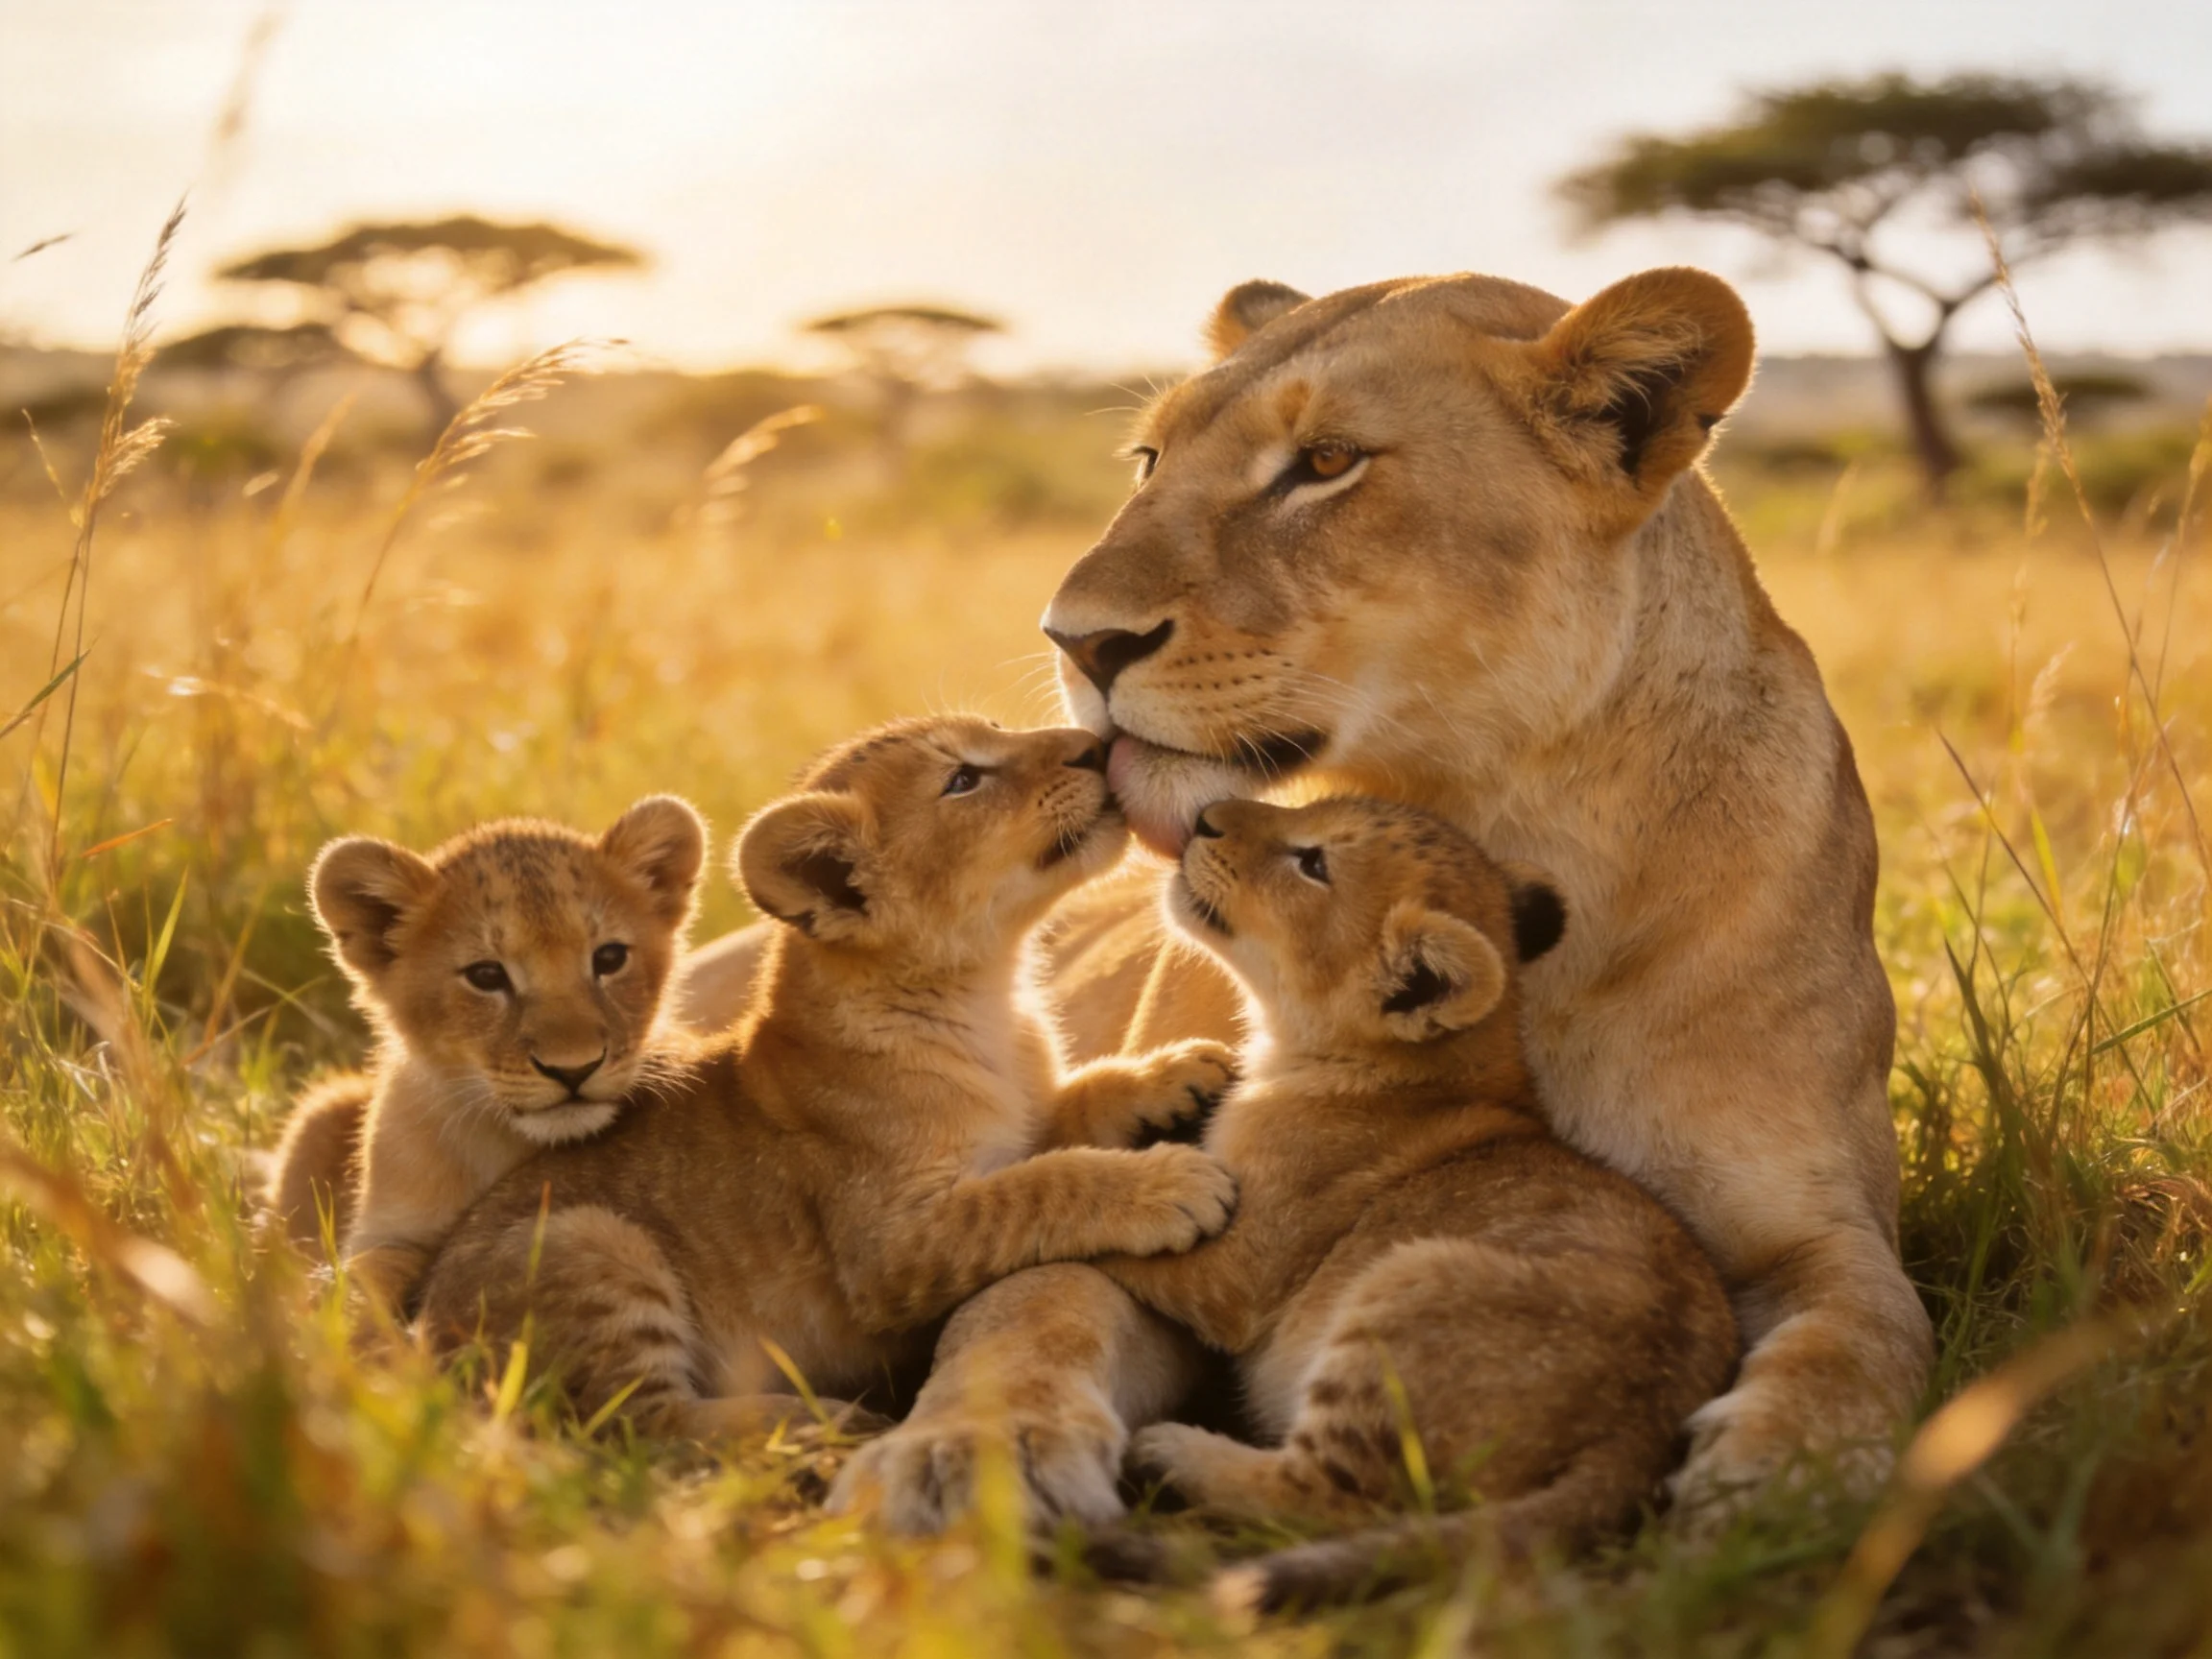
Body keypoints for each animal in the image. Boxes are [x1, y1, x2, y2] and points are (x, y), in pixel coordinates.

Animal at [264, 796, 709, 1312]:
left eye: (610, 958)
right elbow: (364, 1279)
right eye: (486, 975)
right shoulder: (388, 1231)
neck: (503, 1142)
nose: (574, 1069)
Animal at [415, 718, 1239, 1438]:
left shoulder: (1025, 1121)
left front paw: (1182, 1070)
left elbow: (1075, 1110)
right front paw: (1171, 1187)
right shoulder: (890, 1245)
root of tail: (422, 1337)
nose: (1094, 745)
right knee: (643, 1426)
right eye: (963, 780)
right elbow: (1041, 1189)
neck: (986, 1001)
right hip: (592, 1244)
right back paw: (824, 1425)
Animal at [1085, 795, 1737, 1608]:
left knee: (1327, 1501)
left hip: (1404, 1289)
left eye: (1313, 863)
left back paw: (1169, 1453)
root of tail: (1644, 1427)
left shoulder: (1239, 1272)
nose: (1206, 815)